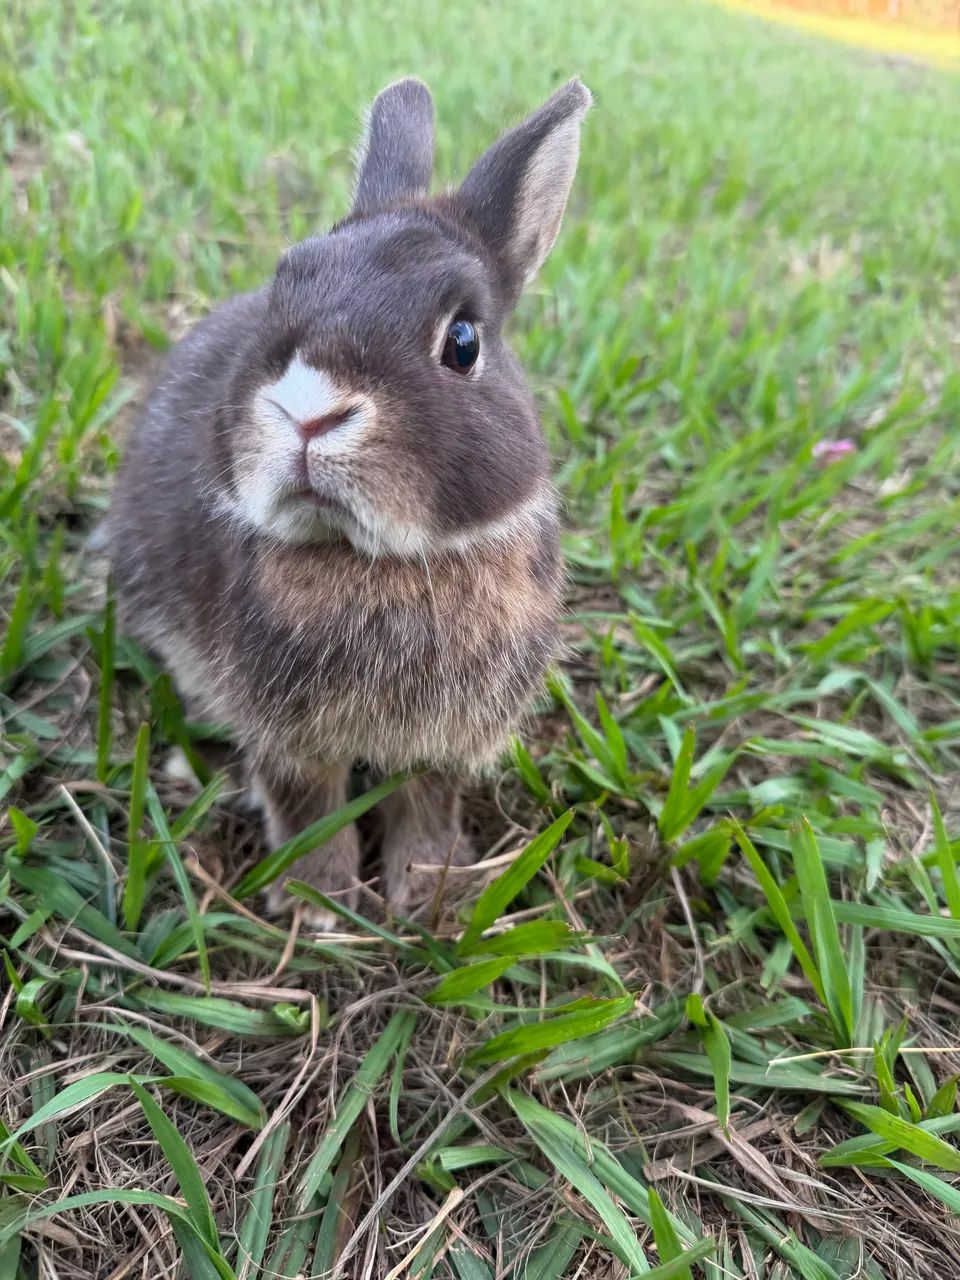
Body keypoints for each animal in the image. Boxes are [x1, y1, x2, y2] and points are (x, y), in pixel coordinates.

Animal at [104, 76, 591, 929]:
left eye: (463, 341)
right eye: (284, 286)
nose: (307, 410)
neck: (377, 561)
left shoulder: (442, 739)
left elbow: (425, 801)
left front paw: (429, 892)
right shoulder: (290, 738)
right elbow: (307, 804)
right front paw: (322, 904)